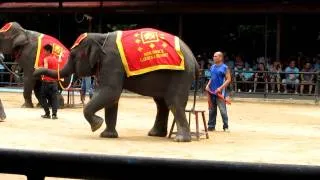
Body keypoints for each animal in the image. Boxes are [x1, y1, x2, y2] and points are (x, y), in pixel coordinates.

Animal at [35, 28, 200, 142]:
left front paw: (97, 125)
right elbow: (111, 98)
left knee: (173, 101)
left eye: (73, 56)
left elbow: (110, 92)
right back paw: (155, 134)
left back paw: (180, 139)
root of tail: (194, 59)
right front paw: (107, 135)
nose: (36, 72)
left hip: (181, 75)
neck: (100, 37)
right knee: (161, 103)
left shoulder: (112, 61)